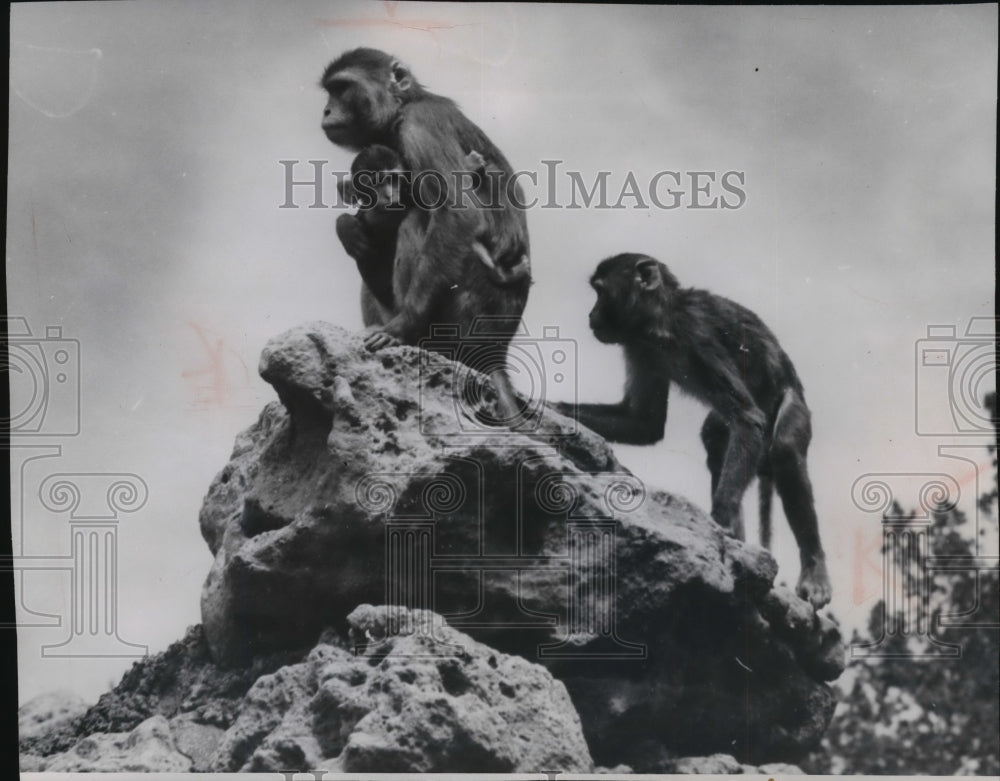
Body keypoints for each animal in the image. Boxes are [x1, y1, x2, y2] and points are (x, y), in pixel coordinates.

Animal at [321, 48, 531, 424]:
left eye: (342, 89)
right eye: (329, 92)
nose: (326, 110)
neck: (403, 105)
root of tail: (497, 350)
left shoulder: (420, 126)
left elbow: (457, 213)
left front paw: (401, 327)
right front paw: (348, 225)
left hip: (471, 314)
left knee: (418, 220)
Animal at [552, 253, 832, 608]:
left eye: (600, 291)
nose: (591, 314)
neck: (662, 321)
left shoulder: (696, 337)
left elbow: (747, 419)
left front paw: (720, 520)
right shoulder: (642, 348)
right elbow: (643, 423)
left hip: (793, 400)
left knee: (783, 448)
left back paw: (814, 571)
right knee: (716, 438)